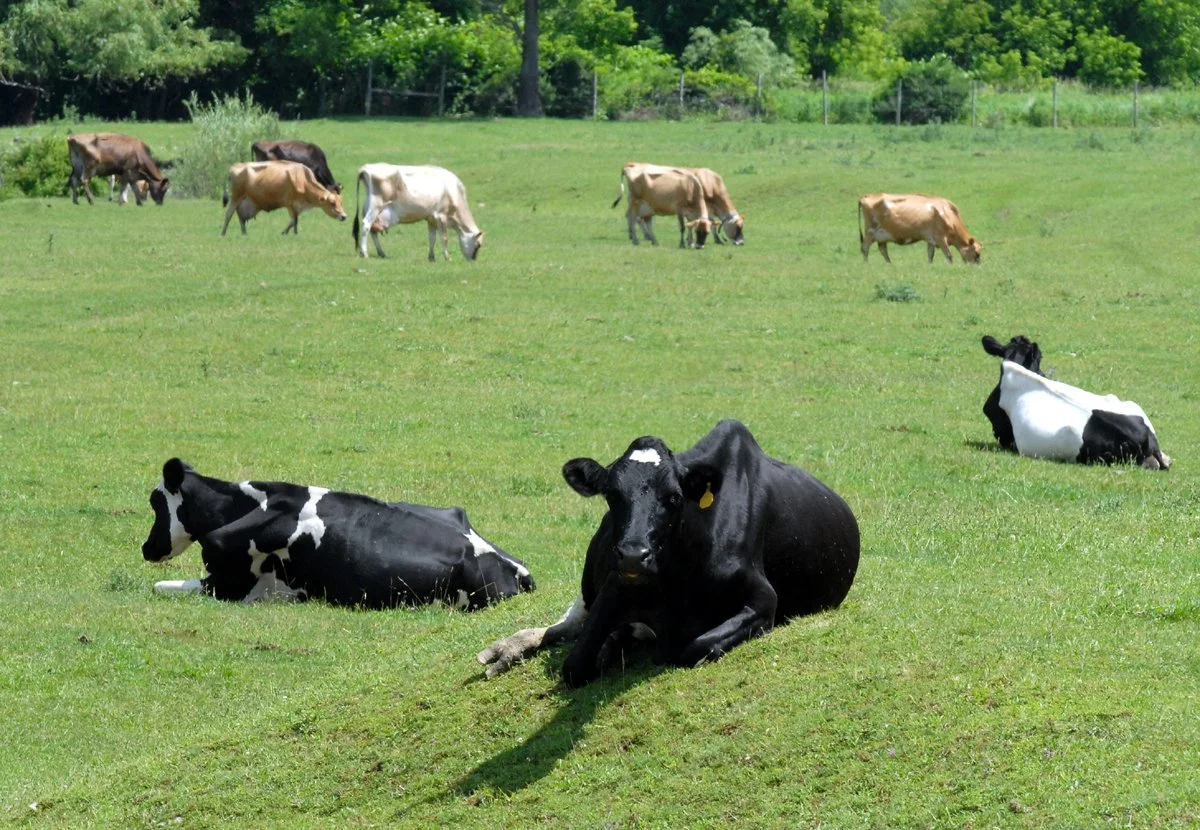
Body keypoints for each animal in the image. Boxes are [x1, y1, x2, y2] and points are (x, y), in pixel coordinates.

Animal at [352, 164, 484, 261]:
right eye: (478, 245)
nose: (473, 260)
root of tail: (366, 168)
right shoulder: (441, 217)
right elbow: (444, 238)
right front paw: (447, 257)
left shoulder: (431, 219)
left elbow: (432, 238)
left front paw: (431, 257)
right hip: (376, 206)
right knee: (366, 225)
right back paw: (365, 253)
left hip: (369, 208)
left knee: (373, 231)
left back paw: (381, 253)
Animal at [477, 419, 861, 687]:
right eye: (611, 495)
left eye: (674, 497)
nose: (634, 555)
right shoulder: (615, 585)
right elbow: (575, 664)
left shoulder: (764, 600)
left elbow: (694, 647)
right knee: (563, 626)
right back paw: (506, 650)